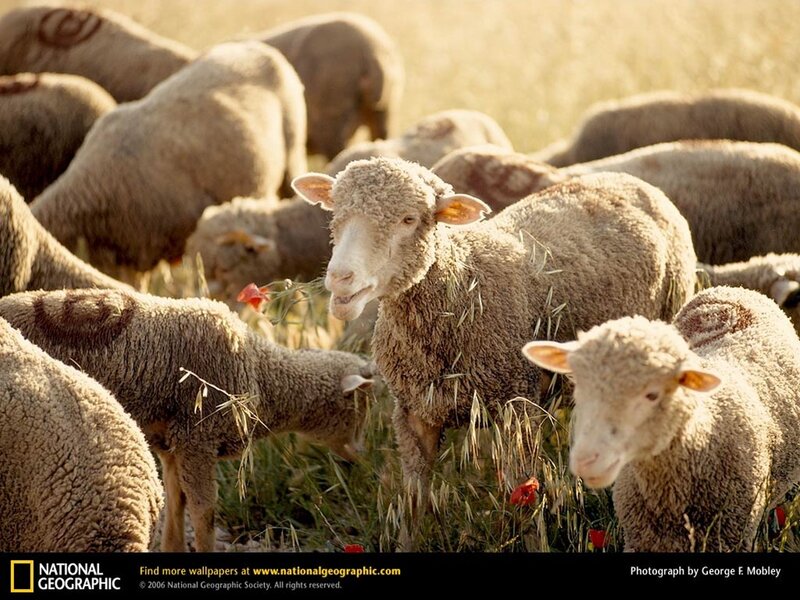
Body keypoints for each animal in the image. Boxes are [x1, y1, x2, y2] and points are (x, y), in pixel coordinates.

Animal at [292, 159, 697, 539]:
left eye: (409, 219)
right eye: (336, 213)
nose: (341, 278)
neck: (463, 286)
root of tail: (629, 180)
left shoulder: (518, 409)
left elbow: (525, 499)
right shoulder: (413, 413)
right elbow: (413, 501)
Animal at [523, 286, 800, 551]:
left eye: (652, 395)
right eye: (579, 385)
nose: (585, 460)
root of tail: (733, 290)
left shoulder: (732, 532)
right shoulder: (640, 536)